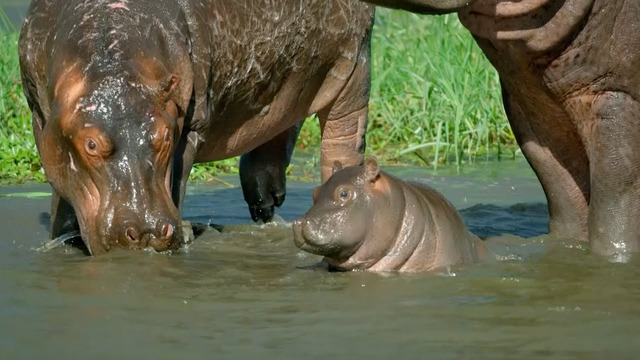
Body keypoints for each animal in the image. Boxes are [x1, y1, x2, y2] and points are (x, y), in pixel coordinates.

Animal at [20, 0, 376, 255]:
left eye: (165, 135)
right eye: (91, 144)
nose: (147, 230)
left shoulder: (189, 123)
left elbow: (176, 181)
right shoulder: (42, 117)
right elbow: (61, 191)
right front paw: (63, 237)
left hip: (354, 67)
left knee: (343, 139)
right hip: (290, 79)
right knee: (279, 125)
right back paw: (266, 202)